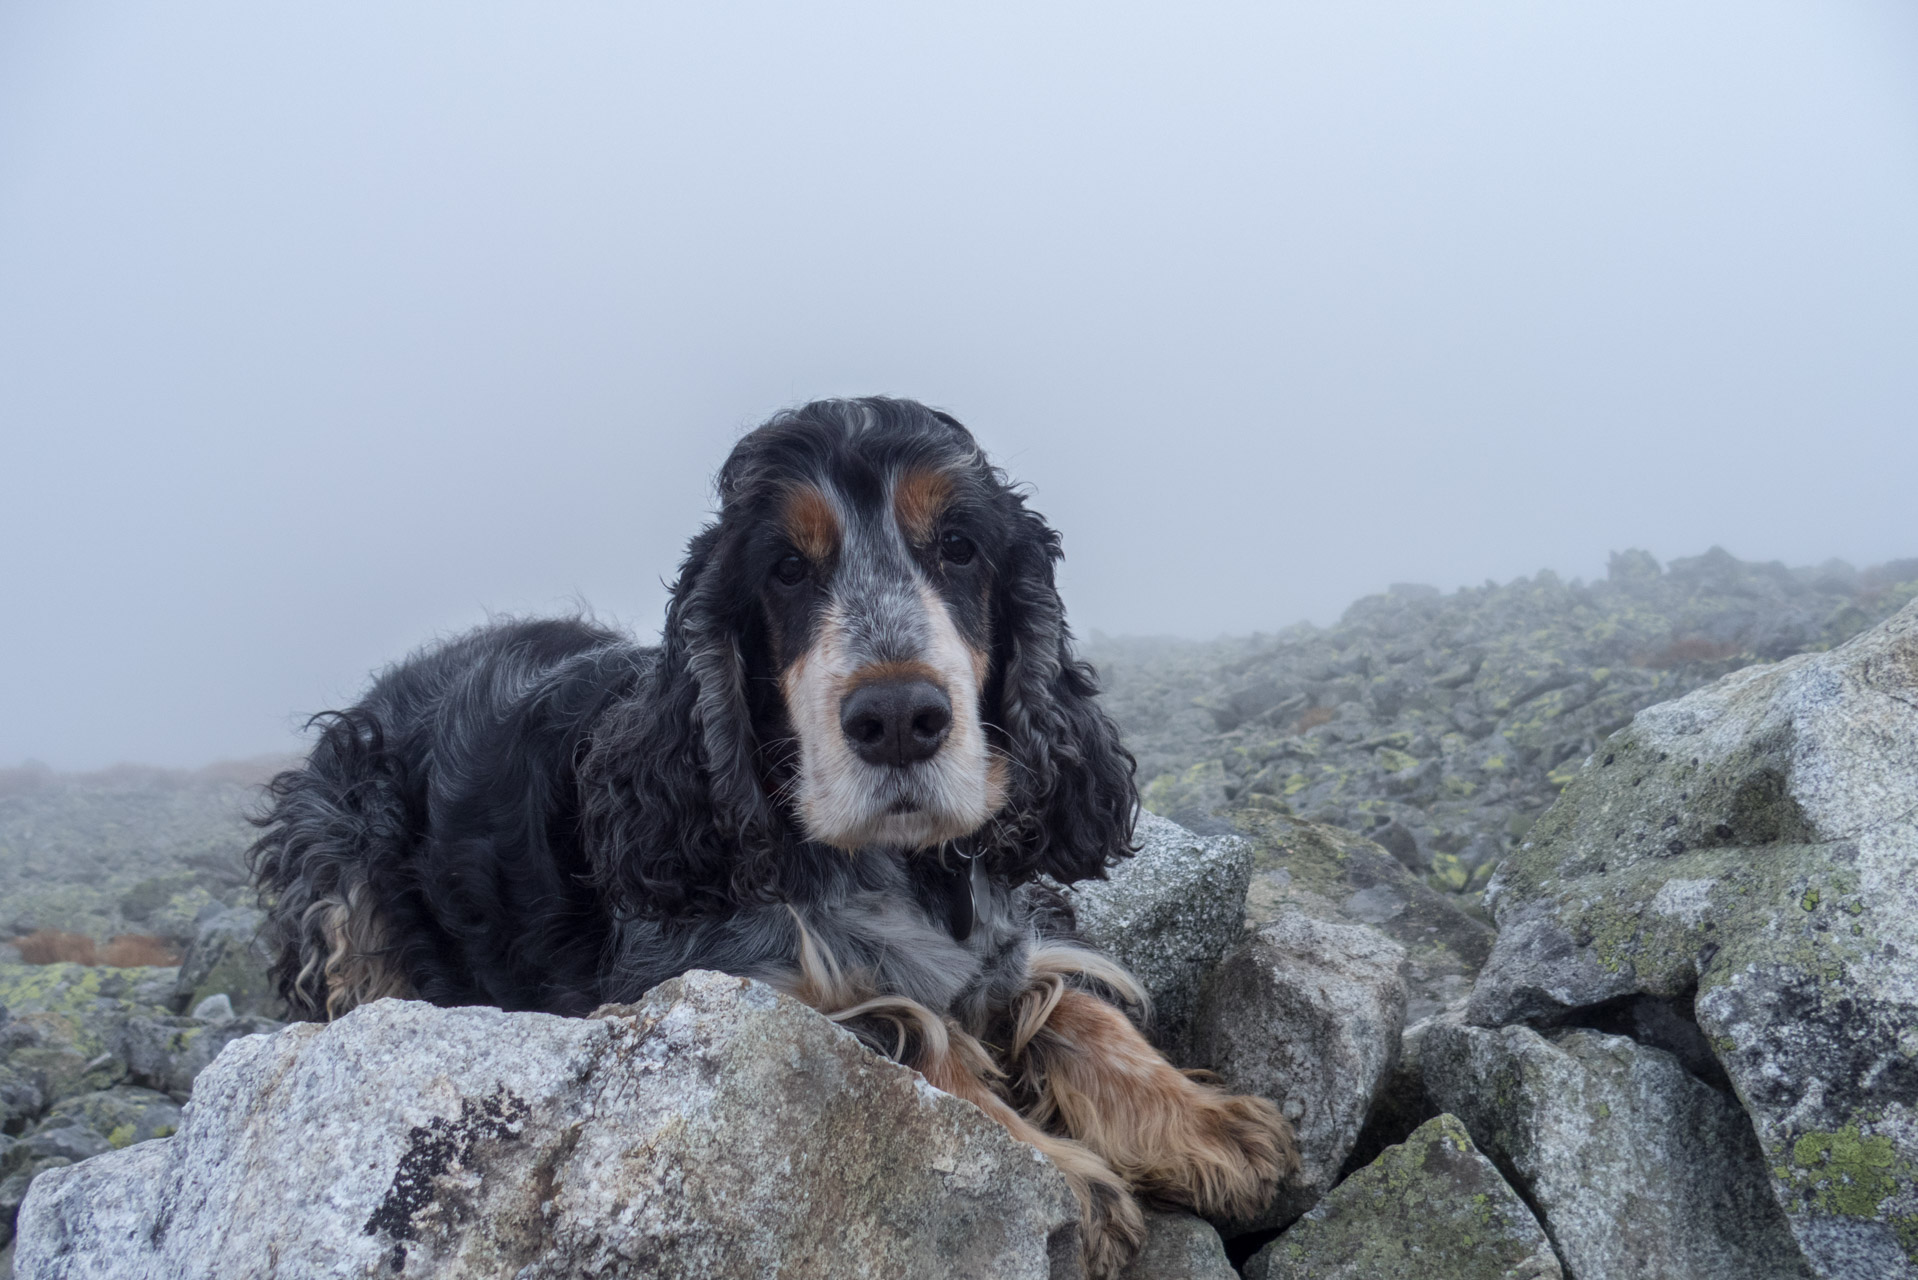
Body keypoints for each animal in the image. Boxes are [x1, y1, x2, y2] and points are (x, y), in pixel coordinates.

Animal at [255, 395, 1296, 1274]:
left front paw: (1208, 1127)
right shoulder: (720, 988)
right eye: (788, 568)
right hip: (335, 883)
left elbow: (1075, 1003)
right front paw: (1075, 1189)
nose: (899, 718)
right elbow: (916, 1037)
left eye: (960, 547)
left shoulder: (1006, 938)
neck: (901, 869)